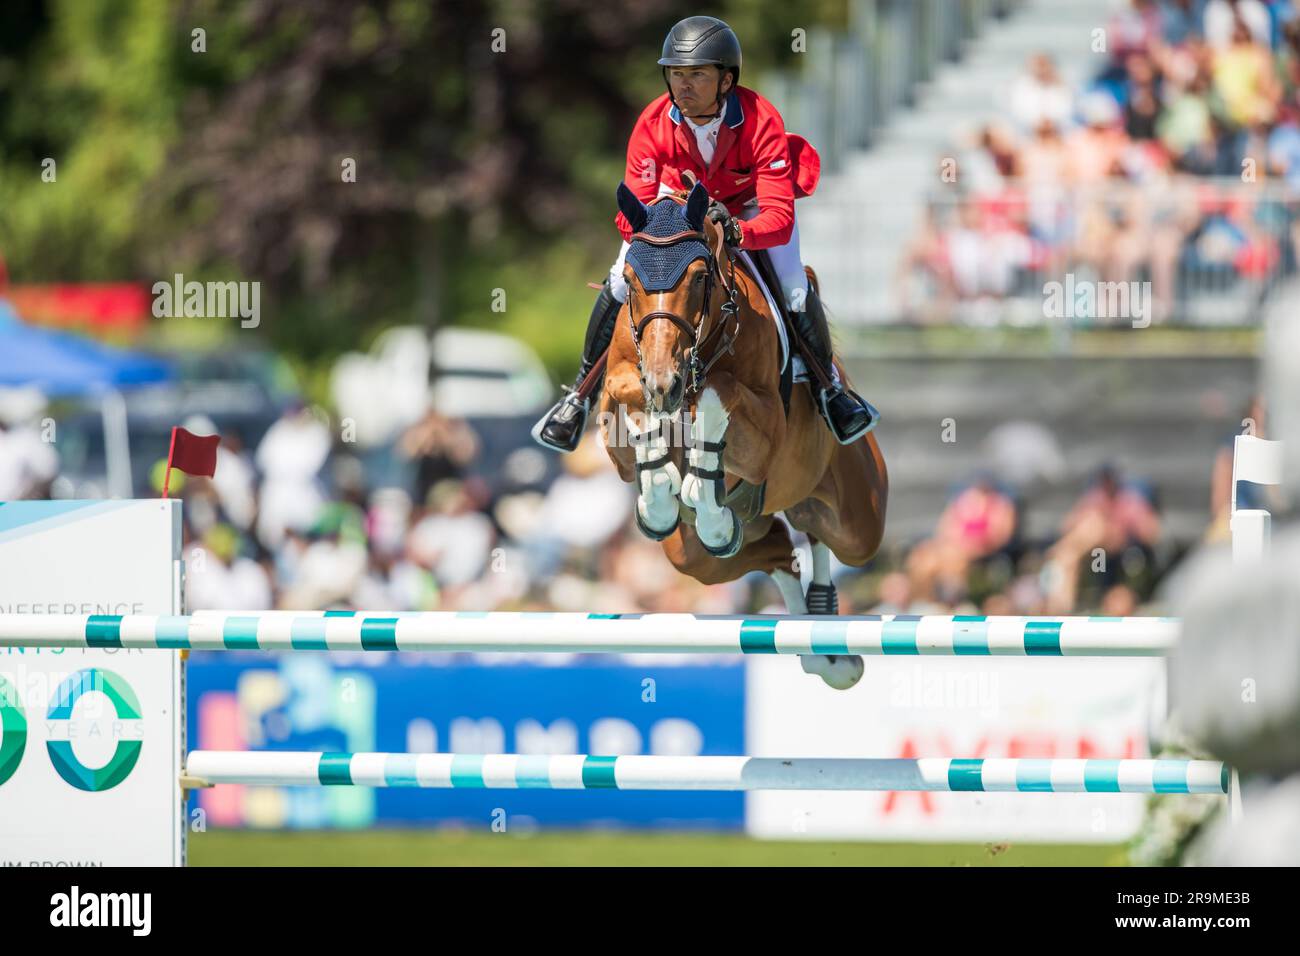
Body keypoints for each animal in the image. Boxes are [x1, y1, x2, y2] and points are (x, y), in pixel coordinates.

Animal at [595, 179, 883, 686]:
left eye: (698, 277)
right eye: (629, 281)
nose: (664, 383)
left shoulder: (765, 430)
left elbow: (718, 391)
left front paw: (697, 483)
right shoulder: (620, 402)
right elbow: (631, 399)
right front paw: (659, 498)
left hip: (858, 519)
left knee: (822, 533)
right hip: (699, 557)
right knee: (778, 548)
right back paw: (818, 645)